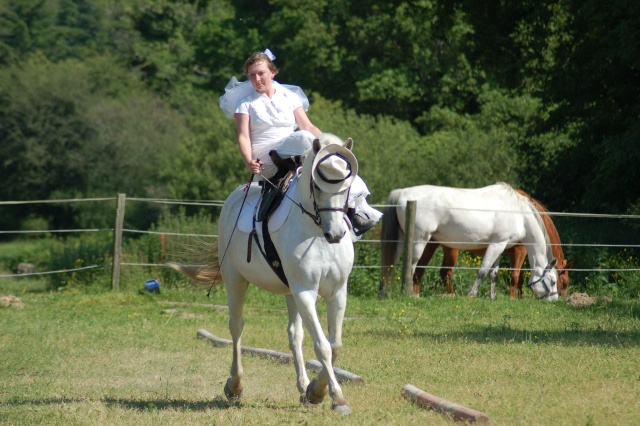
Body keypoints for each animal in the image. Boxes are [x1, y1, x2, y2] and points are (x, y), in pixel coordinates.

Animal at [170, 133, 358, 412]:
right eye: (317, 186)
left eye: (346, 186)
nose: (335, 234)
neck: (315, 232)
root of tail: (234, 197)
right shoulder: (305, 291)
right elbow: (323, 346)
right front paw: (335, 397)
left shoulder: (337, 292)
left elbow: (335, 345)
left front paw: (316, 390)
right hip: (236, 281)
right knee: (236, 328)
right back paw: (234, 386)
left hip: (289, 292)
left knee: (295, 335)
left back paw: (303, 386)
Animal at [380, 183, 560, 300]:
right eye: (553, 281)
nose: (554, 300)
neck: (519, 214)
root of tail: (402, 192)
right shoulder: (497, 245)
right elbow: (483, 271)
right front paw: (472, 294)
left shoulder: (499, 246)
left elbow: (493, 273)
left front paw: (492, 298)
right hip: (419, 242)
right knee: (411, 266)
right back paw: (409, 294)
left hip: (402, 240)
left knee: (389, 264)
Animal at [416, 191, 576, 300]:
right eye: (564, 283)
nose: (561, 300)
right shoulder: (519, 252)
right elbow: (515, 276)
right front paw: (513, 299)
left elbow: (516, 277)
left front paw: (518, 297)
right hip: (451, 249)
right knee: (446, 272)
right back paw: (451, 294)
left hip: (432, 244)